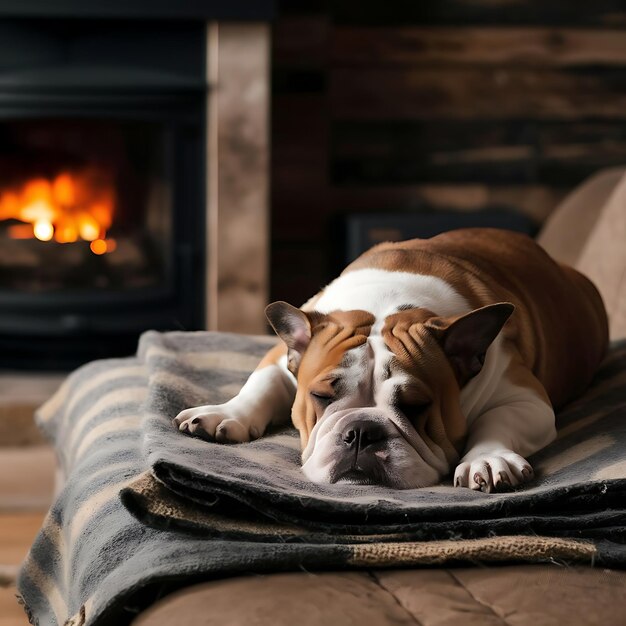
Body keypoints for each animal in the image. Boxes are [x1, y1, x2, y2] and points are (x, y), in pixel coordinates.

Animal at [172, 227, 604, 490]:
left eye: (416, 406)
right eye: (321, 398)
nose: (361, 432)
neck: (385, 303)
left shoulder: (525, 397)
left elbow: (499, 420)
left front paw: (488, 458)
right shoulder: (282, 354)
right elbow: (259, 384)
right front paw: (224, 413)